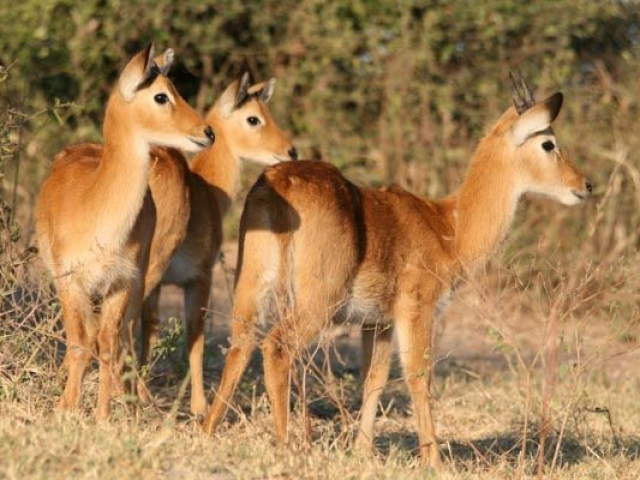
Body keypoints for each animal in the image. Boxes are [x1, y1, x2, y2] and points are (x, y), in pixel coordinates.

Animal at [35, 45, 214, 420]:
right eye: (160, 95)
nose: (207, 132)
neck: (96, 212)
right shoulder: (71, 281)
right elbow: (80, 342)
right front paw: (66, 408)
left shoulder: (119, 283)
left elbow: (107, 344)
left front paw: (102, 416)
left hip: (141, 279)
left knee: (123, 336)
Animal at [138, 71, 298, 416]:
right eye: (253, 118)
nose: (291, 150)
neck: (208, 190)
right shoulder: (200, 278)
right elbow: (195, 336)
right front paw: (199, 406)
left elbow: (150, 329)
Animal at [202, 77, 592, 466]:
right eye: (548, 143)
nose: (585, 185)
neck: (449, 228)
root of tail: (278, 183)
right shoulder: (417, 308)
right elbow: (419, 375)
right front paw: (434, 461)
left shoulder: (377, 322)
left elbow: (374, 377)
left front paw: (361, 452)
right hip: (318, 301)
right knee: (277, 347)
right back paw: (287, 447)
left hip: (250, 289)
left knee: (240, 345)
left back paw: (206, 431)